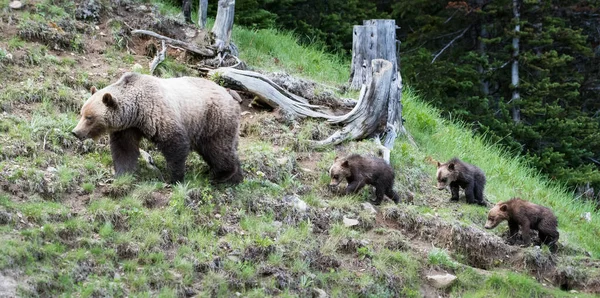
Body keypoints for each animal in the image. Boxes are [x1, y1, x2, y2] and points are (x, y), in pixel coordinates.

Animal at [73, 72, 244, 184]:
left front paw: (175, 178)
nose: (75, 132)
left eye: (89, 117)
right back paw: (235, 177)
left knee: (218, 149)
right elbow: (124, 149)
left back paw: (222, 175)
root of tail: (232, 98)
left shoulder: (158, 114)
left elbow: (175, 144)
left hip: (213, 119)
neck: (136, 112)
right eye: (81, 113)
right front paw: (123, 174)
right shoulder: (127, 128)